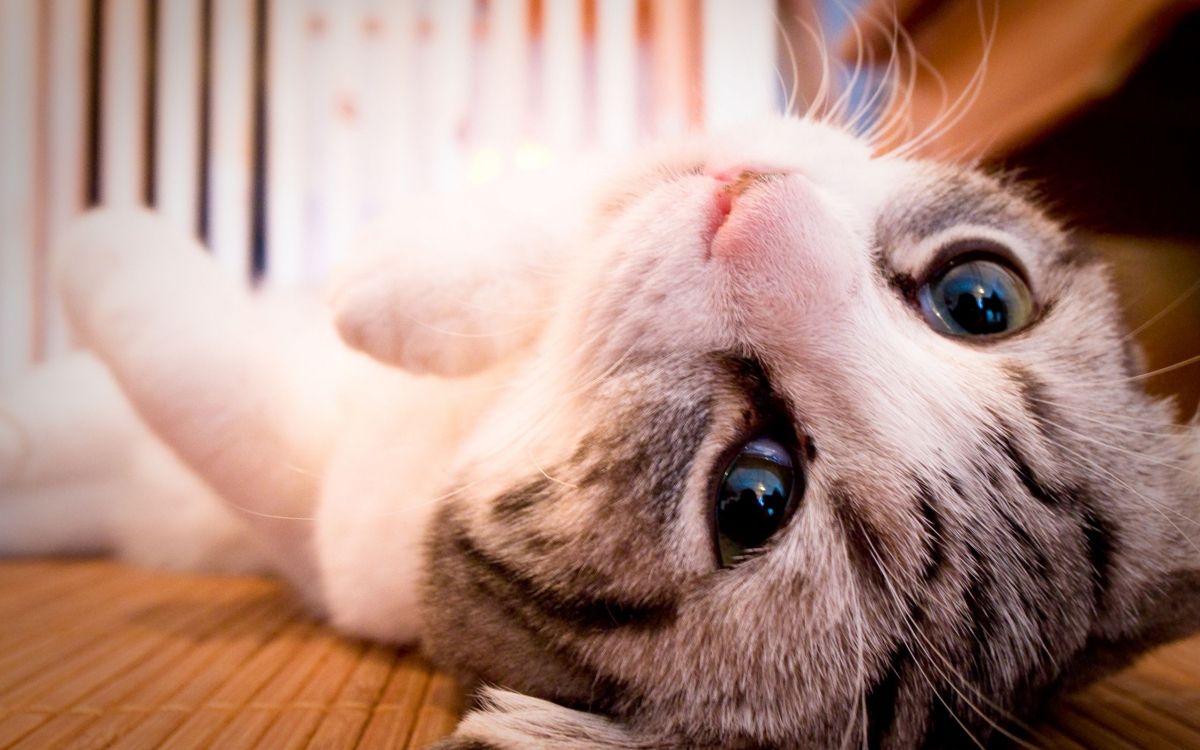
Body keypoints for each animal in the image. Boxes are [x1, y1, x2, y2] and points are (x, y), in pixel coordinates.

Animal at [2, 117, 1200, 748]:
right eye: (979, 300)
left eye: (756, 496)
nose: (750, 214)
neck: (516, 402)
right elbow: (620, 171)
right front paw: (407, 272)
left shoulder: (333, 528)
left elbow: (202, 380)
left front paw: (106, 240)